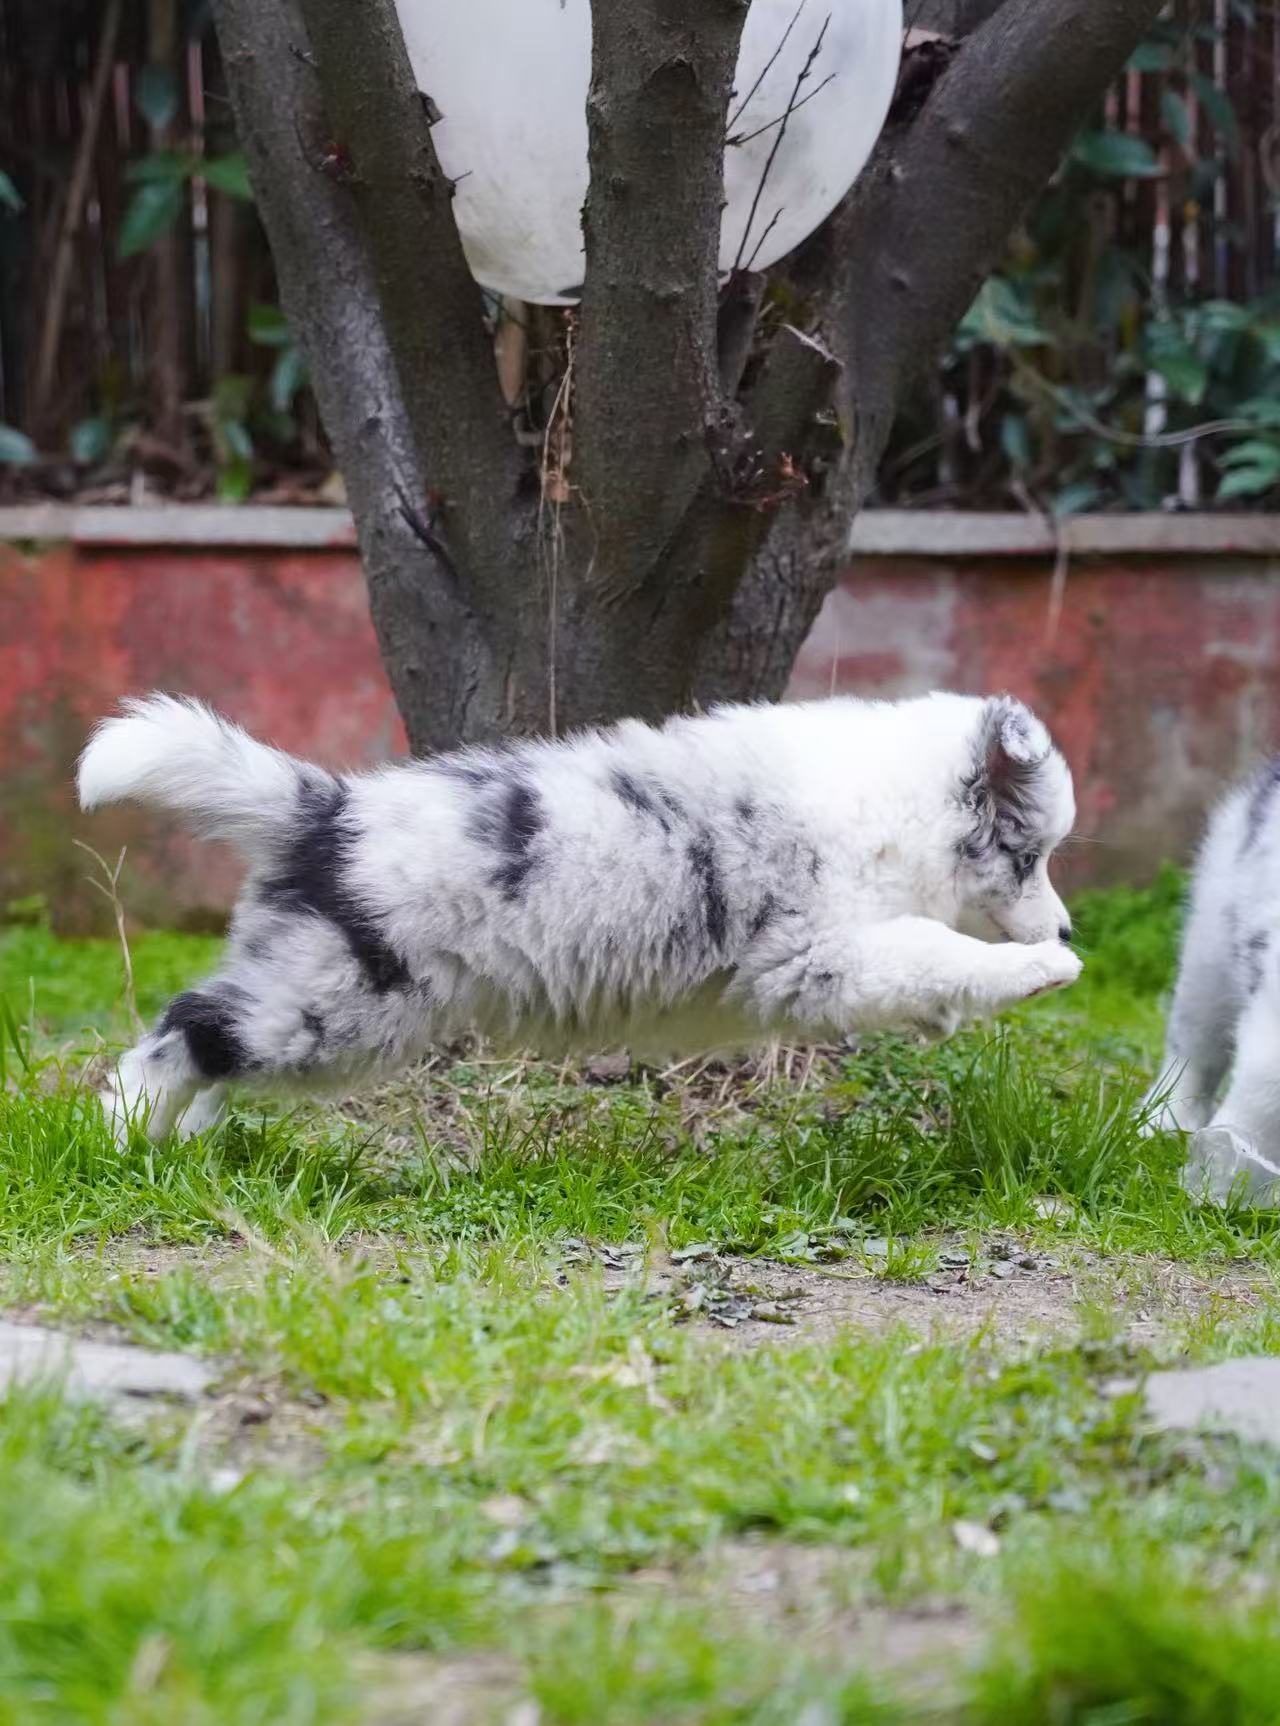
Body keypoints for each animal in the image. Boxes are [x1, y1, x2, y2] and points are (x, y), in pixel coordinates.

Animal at [77, 690, 1081, 1143]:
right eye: (1033, 856)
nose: (1072, 931)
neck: (897, 805)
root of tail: (330, 810)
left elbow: (928, 963)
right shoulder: (822, 953)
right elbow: (933, 950)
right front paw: (1042, 972)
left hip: (312, 999)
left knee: (214, 1043)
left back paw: (186, 1141)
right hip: (336, 1009)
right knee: (186, 1030)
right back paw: (124, 1135)